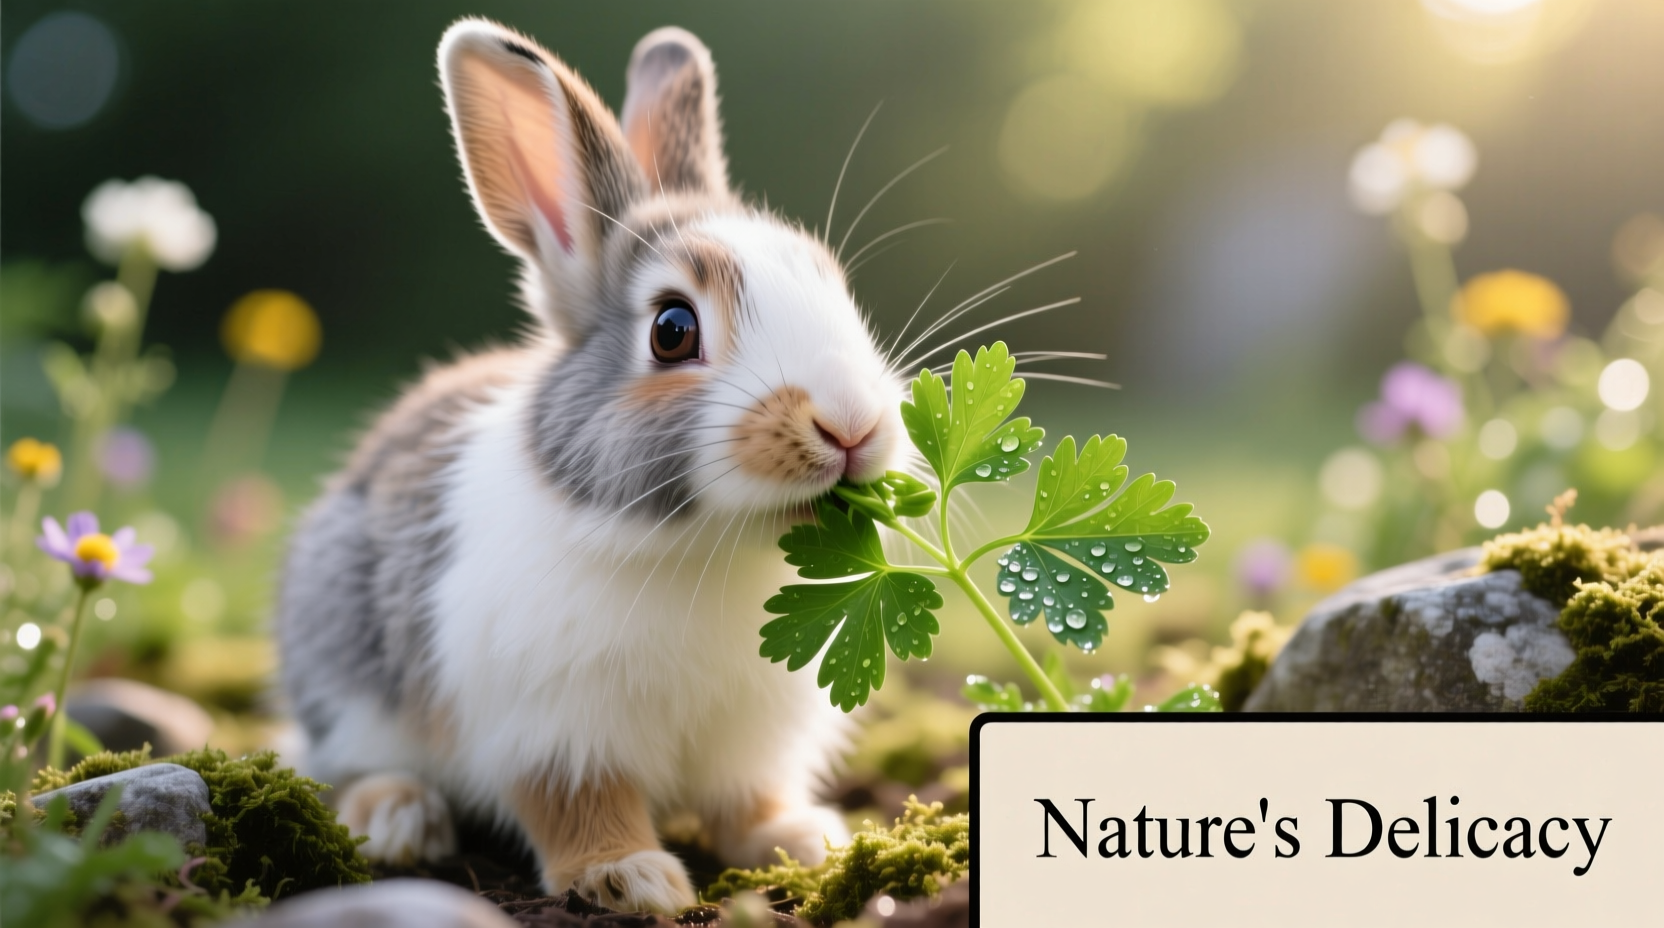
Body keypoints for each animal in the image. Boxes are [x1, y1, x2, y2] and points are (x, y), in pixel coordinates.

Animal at [275, 17, 910, 915]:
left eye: (833, 286)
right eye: (672, 329)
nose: (853, 425)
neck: (705, 544)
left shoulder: (753, 738)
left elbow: (747, 797)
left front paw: (801, 839)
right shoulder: (555, 729)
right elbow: (578, 803)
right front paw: (630, 877)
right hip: (344, 669)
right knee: (340, 764)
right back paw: (398, 816)